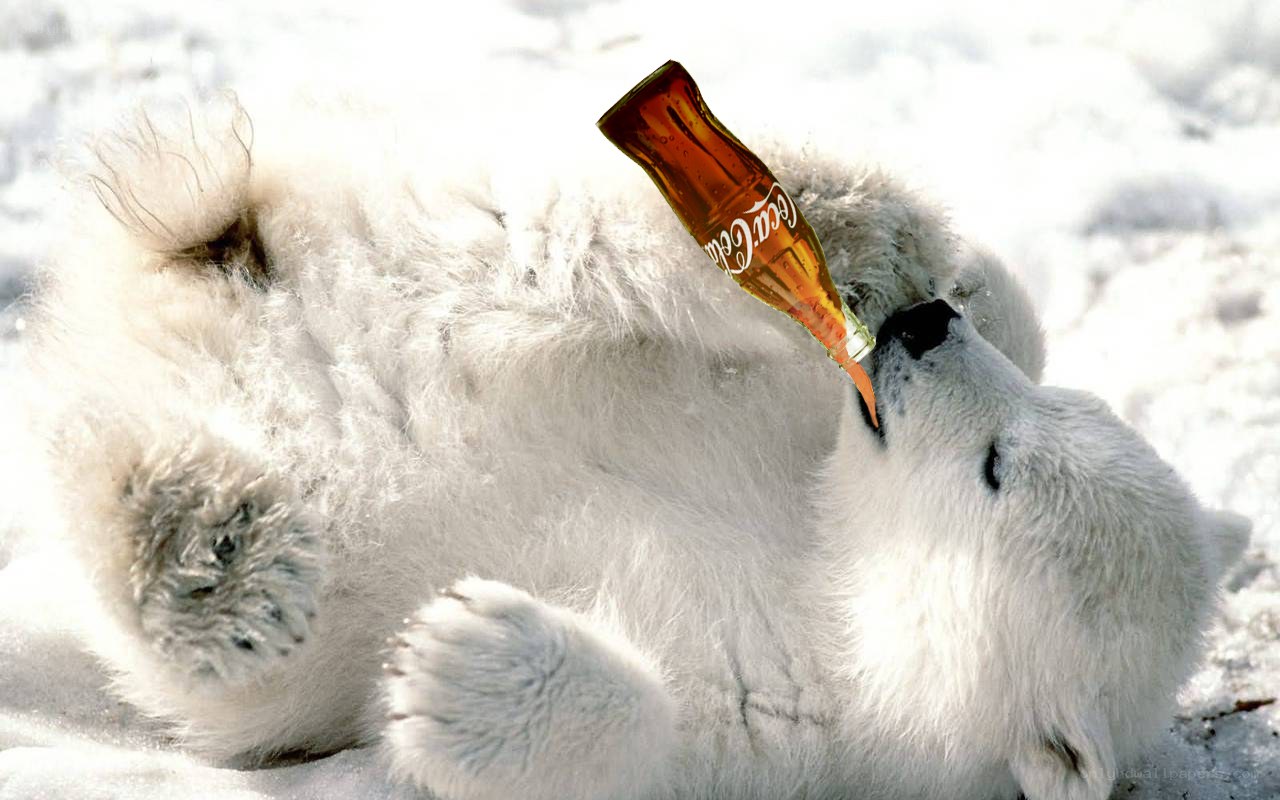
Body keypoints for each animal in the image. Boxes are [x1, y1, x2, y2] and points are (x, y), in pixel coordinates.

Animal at [20, 95, 1250, 800]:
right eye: (1035, 423)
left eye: (998, 469)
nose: (919, 329)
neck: (824, 565)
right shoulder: (793, 427)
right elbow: (994, 322)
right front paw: (938, 281)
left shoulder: (789, 738)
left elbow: (634, 742)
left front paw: (457, 662)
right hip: (411, 246)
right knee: (548, 241)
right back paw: (835, 216)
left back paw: (208, 551)